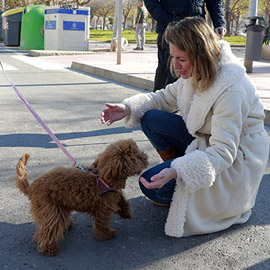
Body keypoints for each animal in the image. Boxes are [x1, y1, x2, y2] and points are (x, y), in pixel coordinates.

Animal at [14, 140, 149, 256]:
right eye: (136, 156)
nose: (145, 156)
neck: (103, 177)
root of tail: (31, 188)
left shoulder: (112, 196)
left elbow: (121, 199)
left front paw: (125, 213)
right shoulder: (103, 208)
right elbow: (101, 223)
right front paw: (106, 235)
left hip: (58, 205)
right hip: (49, 209)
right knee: (49, 229)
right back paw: (49, 248)